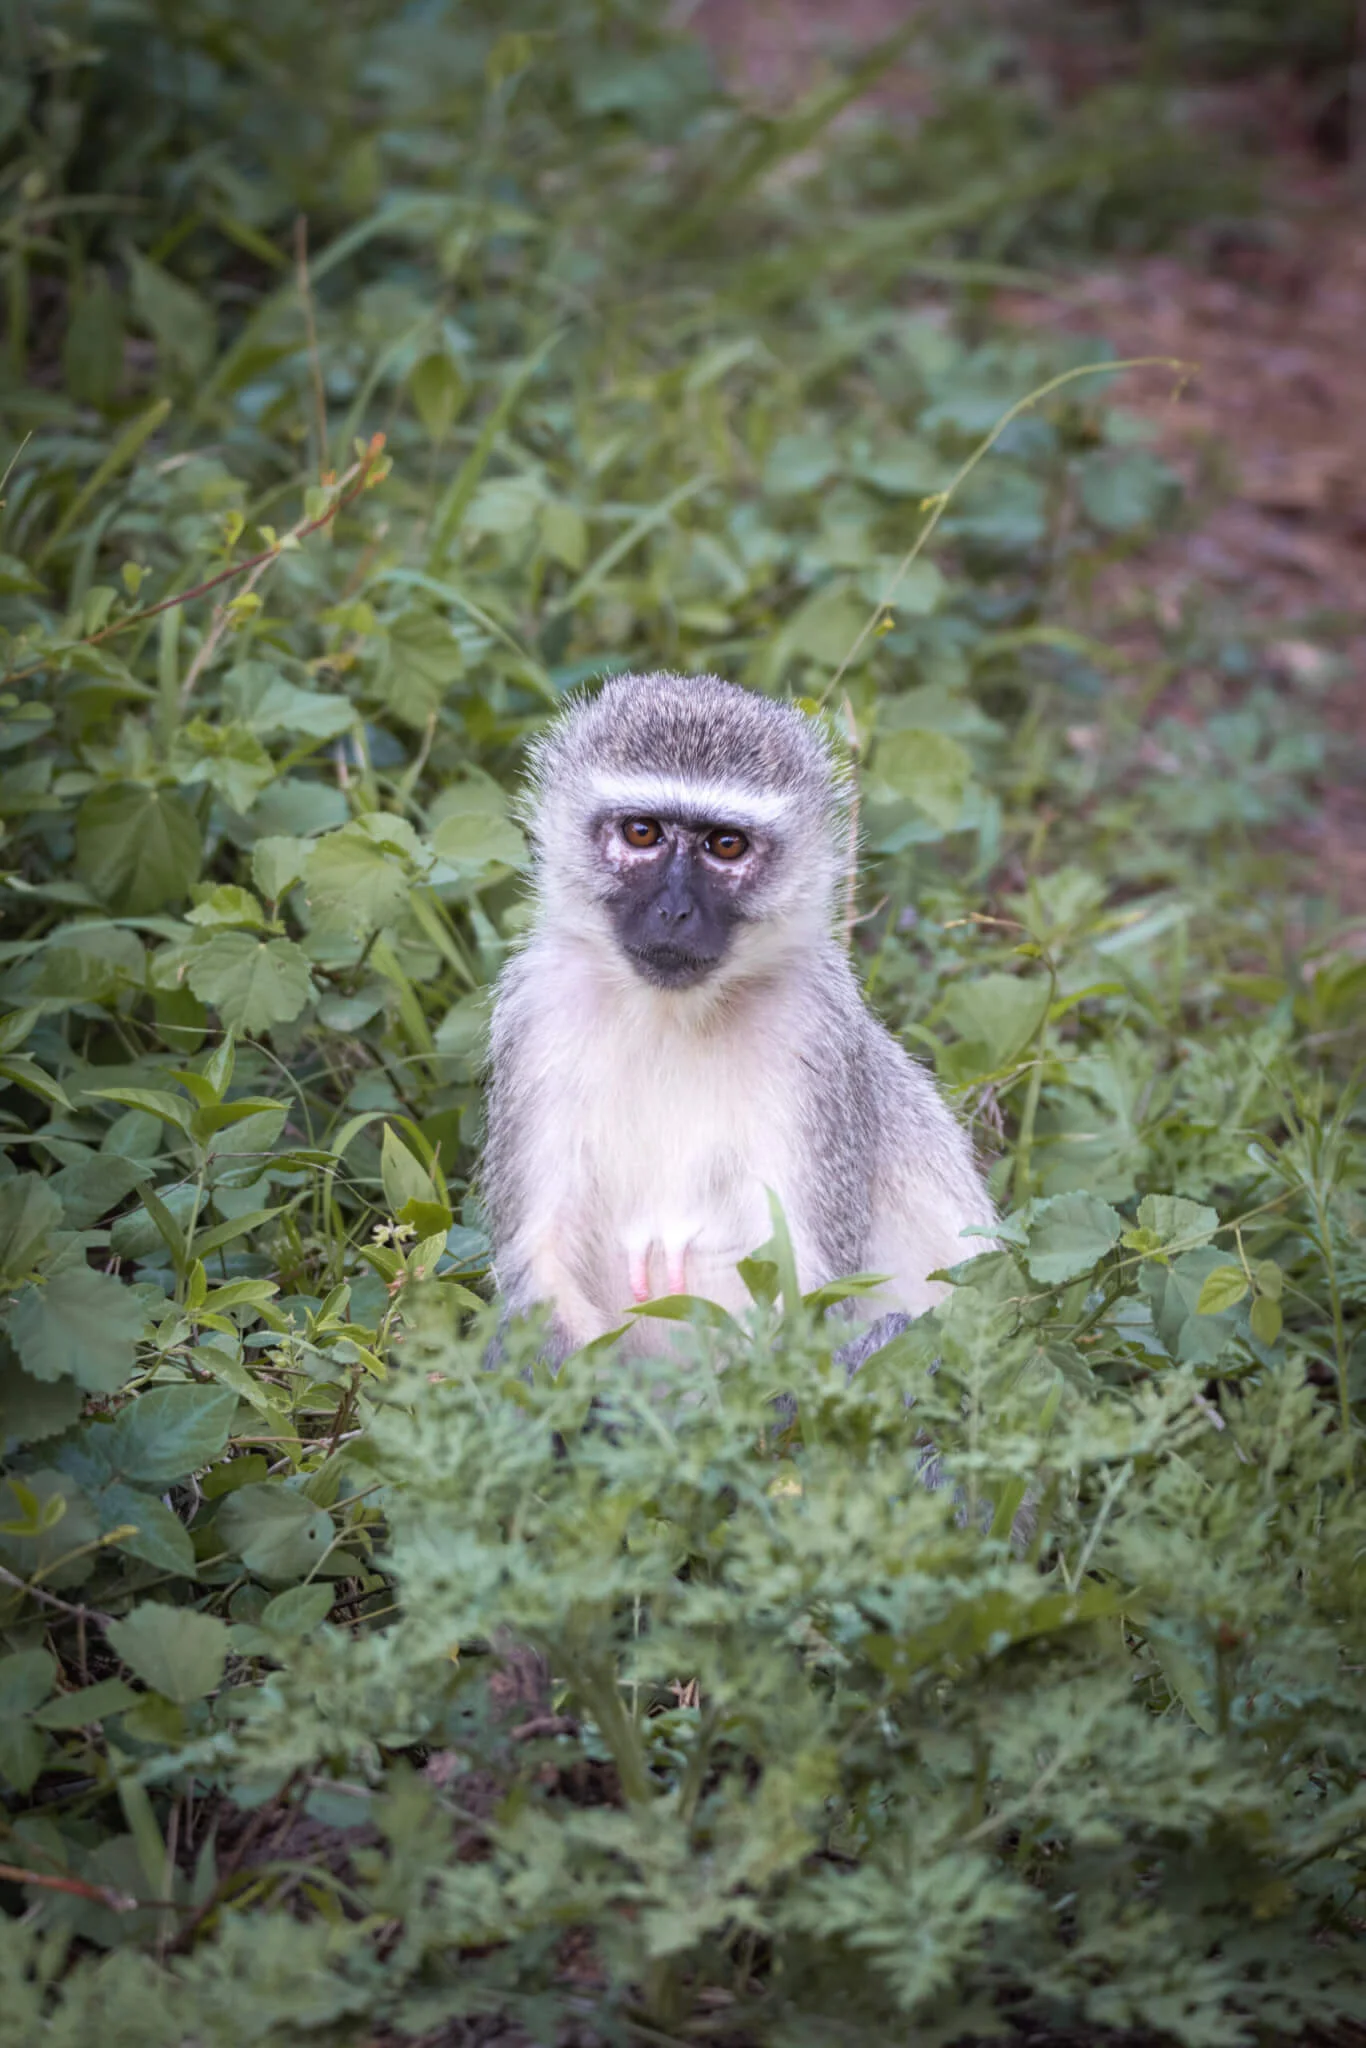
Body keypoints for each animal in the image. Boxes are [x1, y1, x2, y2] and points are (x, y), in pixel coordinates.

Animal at [481, 670, 996, 1364]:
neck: (672, 1017)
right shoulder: (538, 1014)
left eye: (726, 845)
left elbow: (804, 1288)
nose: (674, 912)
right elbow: (543, 1259)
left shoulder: (814, 1035)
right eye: (642, 832)